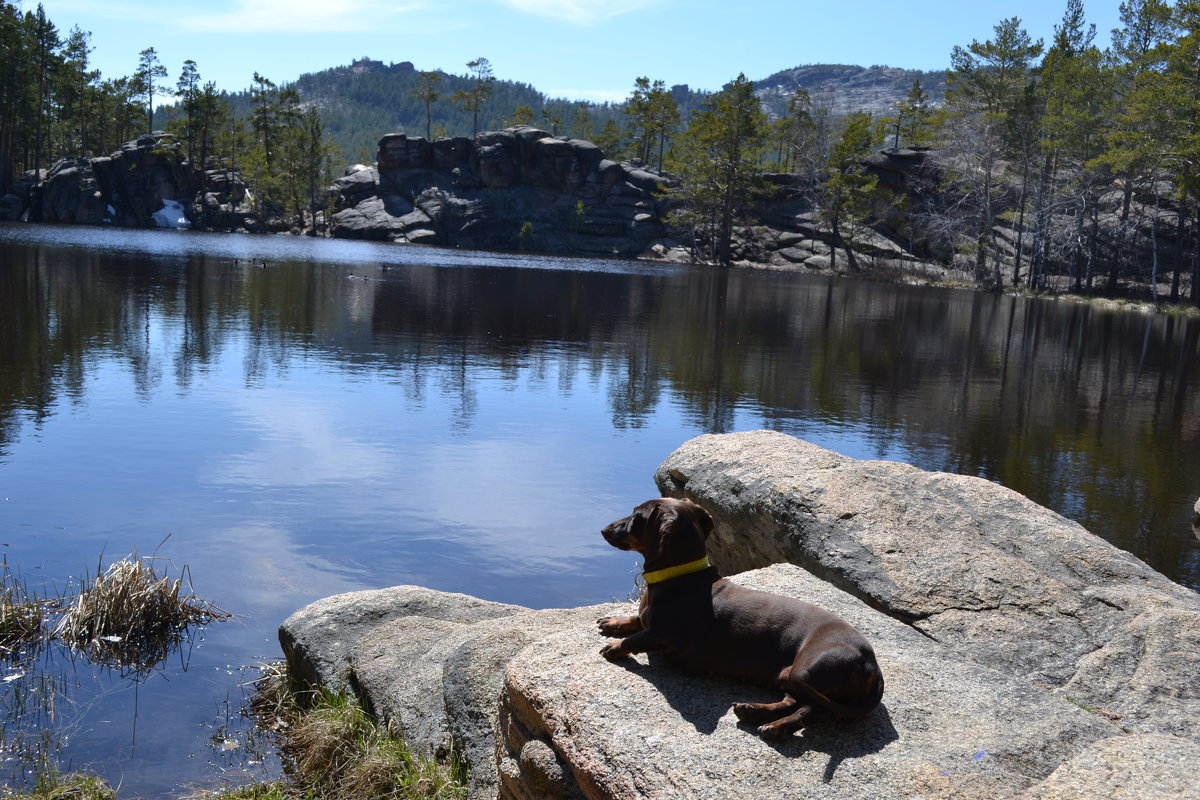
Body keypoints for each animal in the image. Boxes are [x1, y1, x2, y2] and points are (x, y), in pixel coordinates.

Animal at [597, 496, 883, 743]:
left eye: (636, 516)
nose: (603, 529)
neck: (677, 578)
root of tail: (872, 666)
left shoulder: (665, 636)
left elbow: (637, 638)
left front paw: (615, 647)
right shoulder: (648, 620)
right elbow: (636, 620)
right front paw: (613, 622)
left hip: (806, 669)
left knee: (815, 710)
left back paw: (778, 727)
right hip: (791, 676)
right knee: (793, 701)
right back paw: (753, 710)